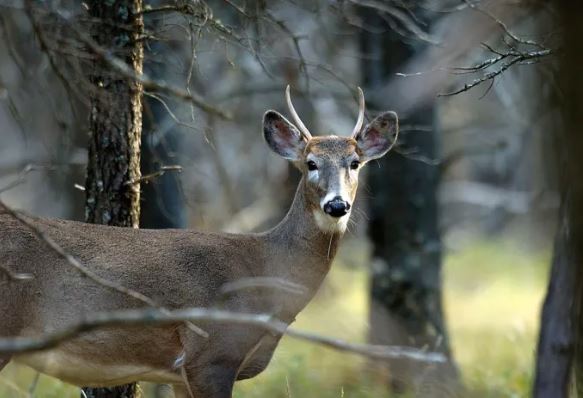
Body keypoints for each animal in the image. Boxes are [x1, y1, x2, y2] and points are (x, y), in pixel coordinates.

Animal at [0, 87, 396, 398]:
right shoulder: (211, 354)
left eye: (355, 163)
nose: (337, 205)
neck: (262, 271)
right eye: (311, 163)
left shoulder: (180, 374)